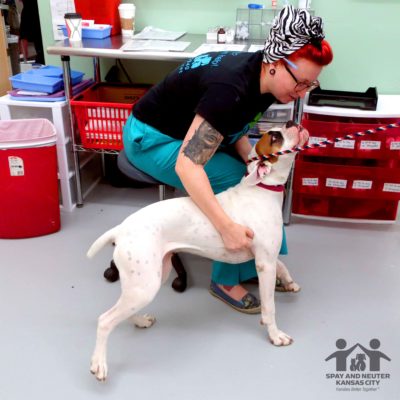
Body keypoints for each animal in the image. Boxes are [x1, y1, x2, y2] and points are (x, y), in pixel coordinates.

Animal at [88, 120, 310, 380]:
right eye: (275, 137)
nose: (291, 122)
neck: (261, 189)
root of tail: (121, 229)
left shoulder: (267, 257)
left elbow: (282, 264)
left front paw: (289, 282)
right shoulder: (265, 262)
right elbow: (270, 307)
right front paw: (275, 335)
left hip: (148, 280)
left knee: (123, 309)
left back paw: (140, 321)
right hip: (145, 286)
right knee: (105, 320)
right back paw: (99, 364)